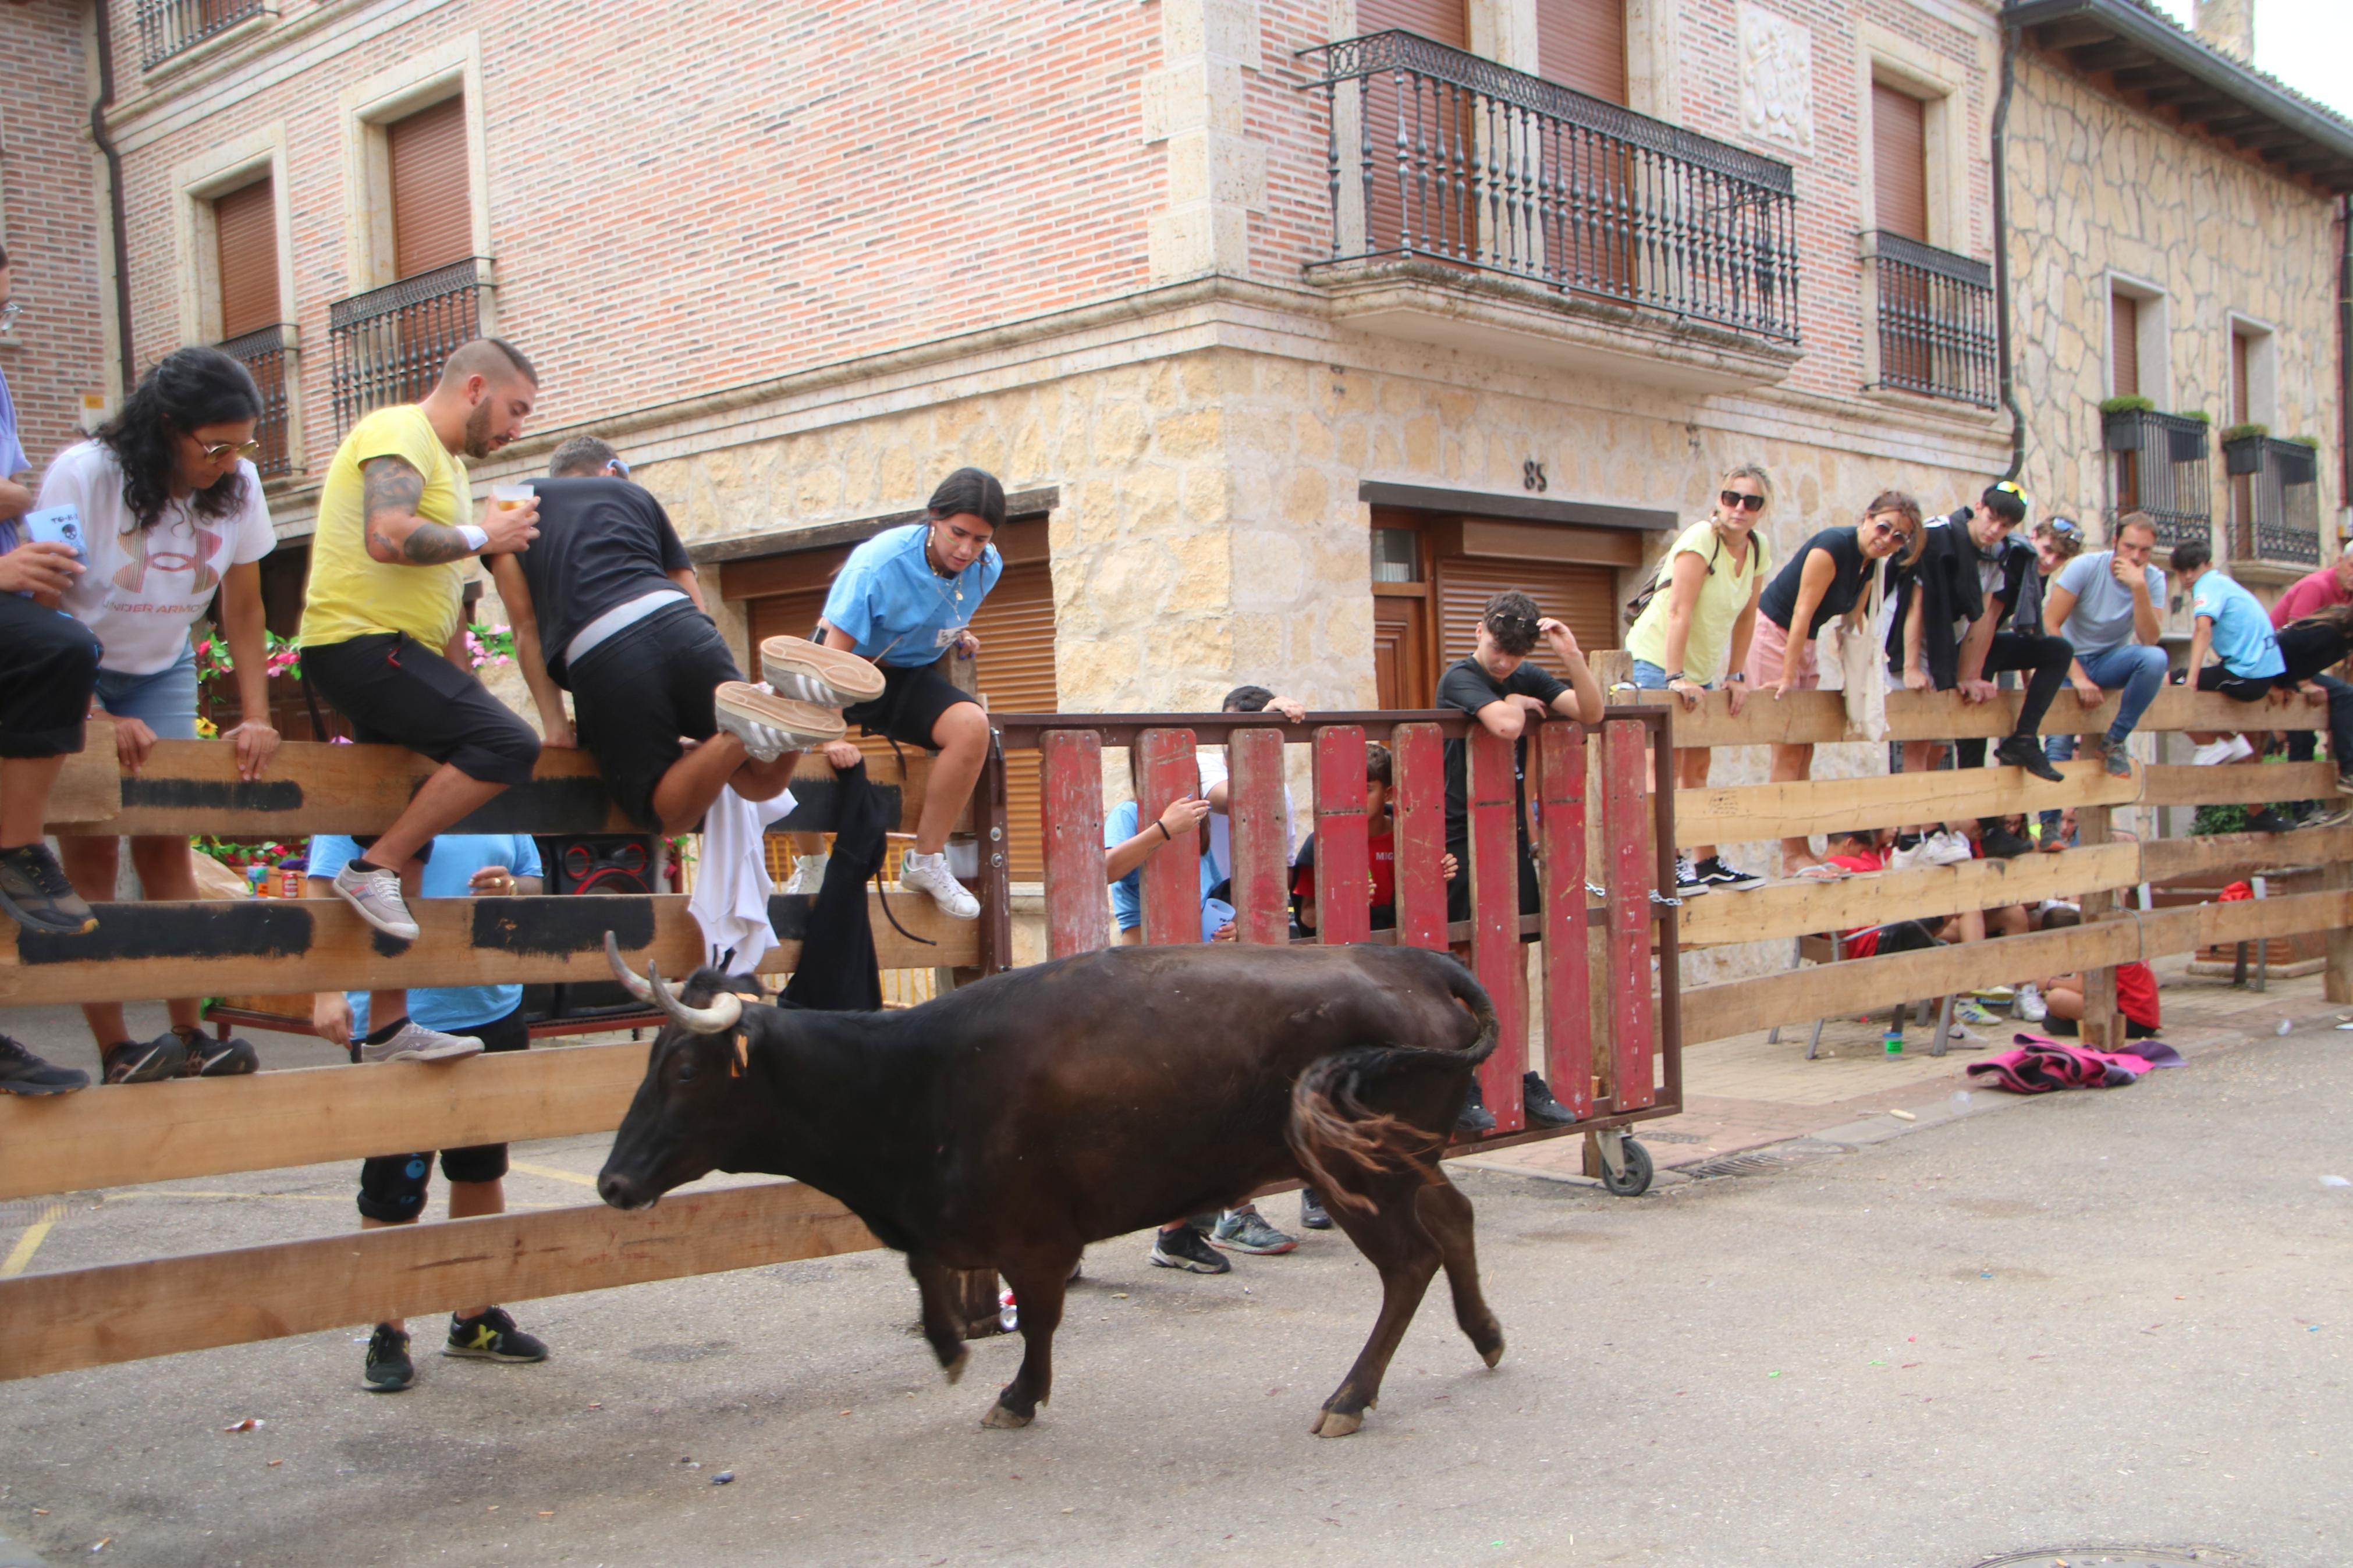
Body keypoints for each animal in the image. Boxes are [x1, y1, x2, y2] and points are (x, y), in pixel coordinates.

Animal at [597, 940, 1496, 1438]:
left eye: (685, 1068)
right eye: (649, 1060)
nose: (612, 1180)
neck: (911, 1077)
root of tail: (1411, 958)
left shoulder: (1035, 1236)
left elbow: (1035, 1318)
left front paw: (1016, 1394)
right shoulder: (949, 1220)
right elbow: (926, 1270)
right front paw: (950, 1347)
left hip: (1356, 1173)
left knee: (1407, 1263)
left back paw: (1349, 1395)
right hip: (1402, 1156)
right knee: (1453, 1217)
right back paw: (1484, 1335)